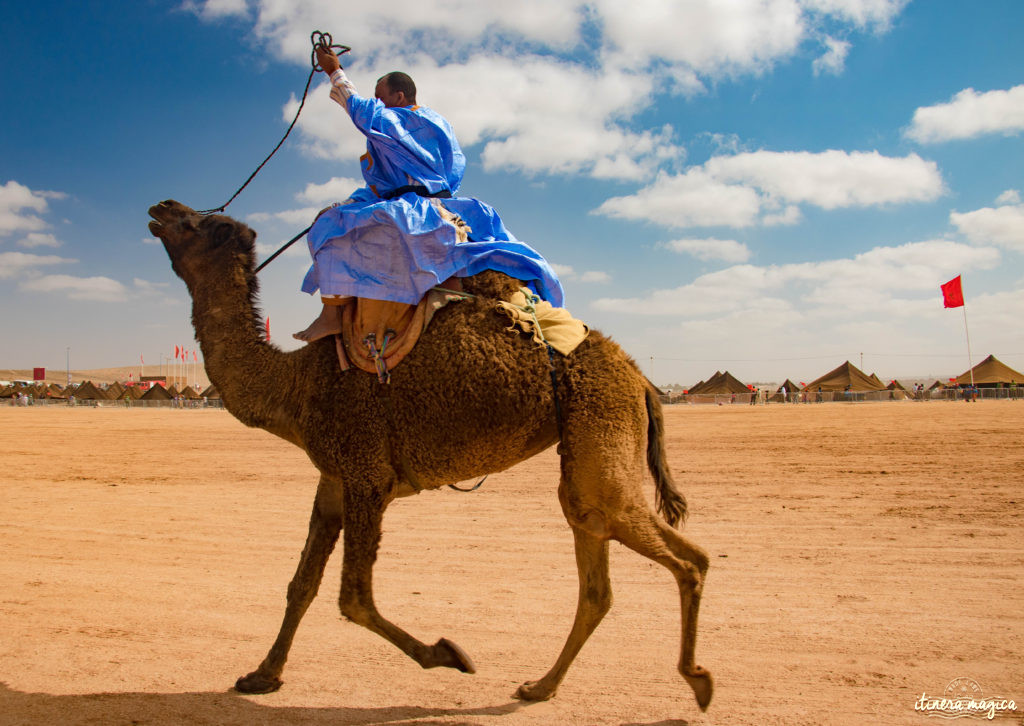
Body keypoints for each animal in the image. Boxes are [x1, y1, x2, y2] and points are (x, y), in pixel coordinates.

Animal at [148, 200, 716, 712]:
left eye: (208, 226)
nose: (162, 208)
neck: (297, 385)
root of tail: (639, 375)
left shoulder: (366, 475)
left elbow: (353, 596)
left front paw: (449, 655)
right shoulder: (334, 480)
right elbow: (301, 585)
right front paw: (261, 676)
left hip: (600, 423)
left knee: (680, 555)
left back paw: (698, 680)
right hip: (588, 447)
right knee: (597, 566)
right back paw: (539, 687)